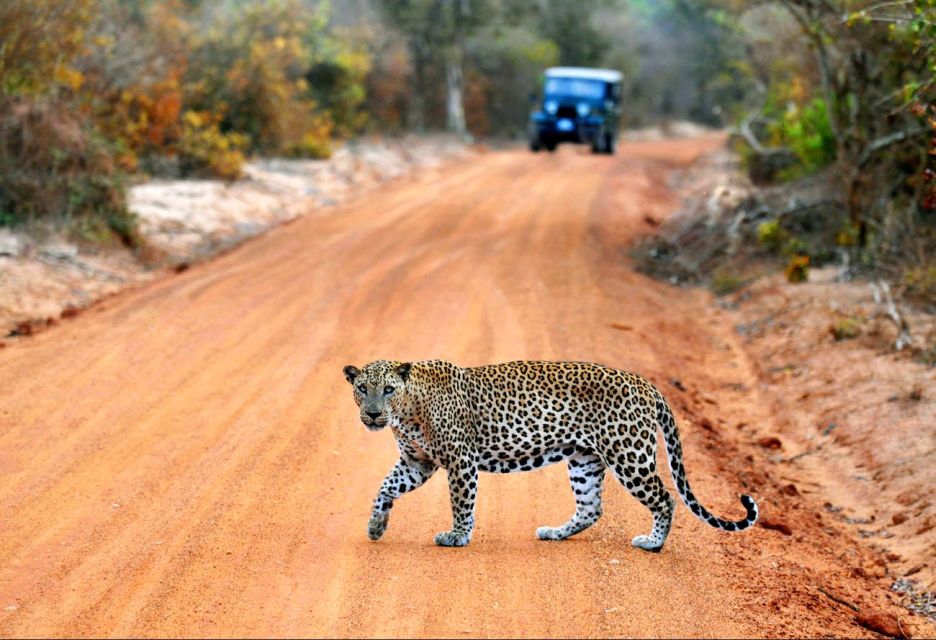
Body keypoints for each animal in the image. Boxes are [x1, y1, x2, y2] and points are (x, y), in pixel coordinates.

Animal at [344, 360, 760, 552]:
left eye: (388, 389)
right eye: (363, 388)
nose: (373, 414)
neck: (407, 411)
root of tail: (646, 384)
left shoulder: (460, 461)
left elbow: (461, 502)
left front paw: (457, 536)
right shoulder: (417, 463)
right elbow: (385, 487)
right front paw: (376, 526)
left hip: (629, 455)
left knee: (665, 497)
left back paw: (653, 543)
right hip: (584, 460)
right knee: (591, 508)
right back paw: (555, 533)